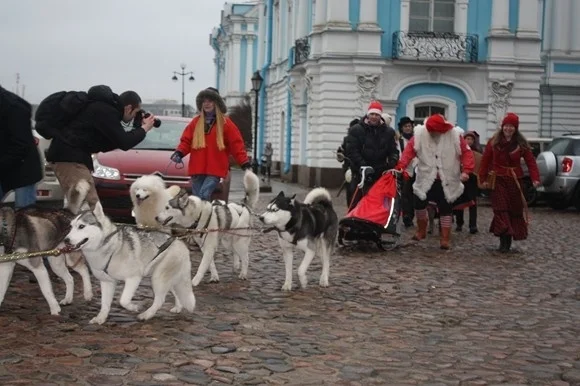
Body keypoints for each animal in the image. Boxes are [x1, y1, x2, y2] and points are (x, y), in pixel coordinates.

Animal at [0, 184, 93, 314]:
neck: (10, 230)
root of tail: (66, 210)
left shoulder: (38, 266)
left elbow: (46, 290)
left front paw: (54, 310)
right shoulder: (6, 266)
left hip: (71, 257)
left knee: (84, 269)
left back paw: (88, 293)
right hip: (56, 263)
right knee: (69, 278)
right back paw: (68, 299)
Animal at [63, 185, 195, 324]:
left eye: (81, 226)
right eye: (71, 226)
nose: (66, 240)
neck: (110, 246)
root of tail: (180, 242)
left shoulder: (134, 278)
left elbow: (123, 300)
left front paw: (133, 307)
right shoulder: (106, 282)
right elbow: (105, 304)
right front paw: (101, 318)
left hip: (158, 278)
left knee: (160, 300)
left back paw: (146, 314)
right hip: (166, 277)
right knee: (176, 291)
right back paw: (178, 307)